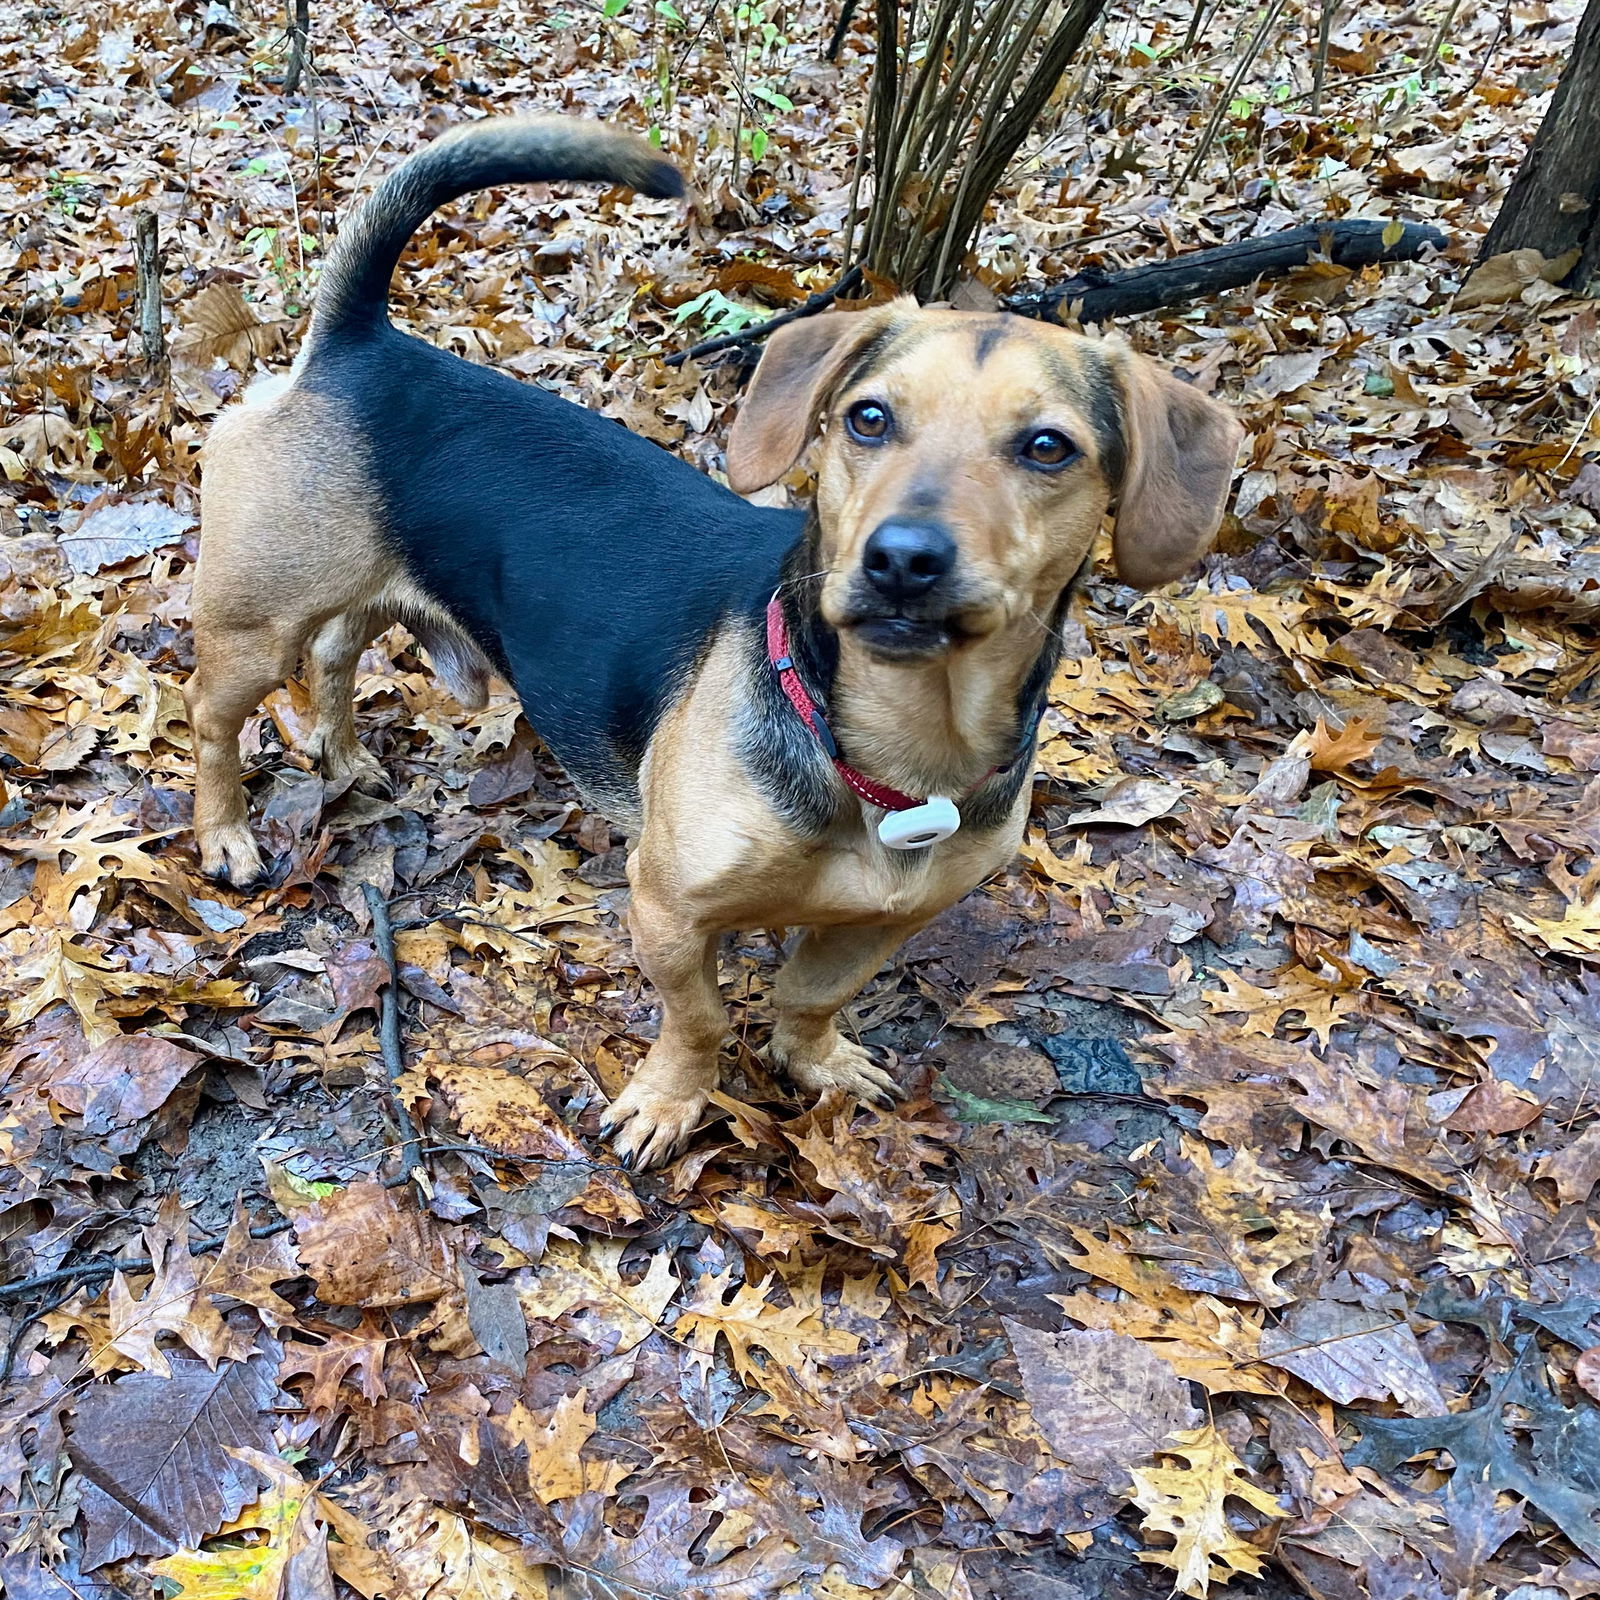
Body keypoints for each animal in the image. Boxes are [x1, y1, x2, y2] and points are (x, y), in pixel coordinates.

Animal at [184, 112, 1235, 1164]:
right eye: (868, 419)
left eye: (1048, 447)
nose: (902, 559)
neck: (889, 745)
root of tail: (363, 346)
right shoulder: (667, 910)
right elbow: (698, 1018)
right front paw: (671, 1101)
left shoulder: (884, 923)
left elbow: (810, 994)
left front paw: (813, 1060)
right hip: (253, 623)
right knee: (212, 718)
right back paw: (226, 834)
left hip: (363, 592)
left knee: (333, 654)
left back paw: (342, 754)